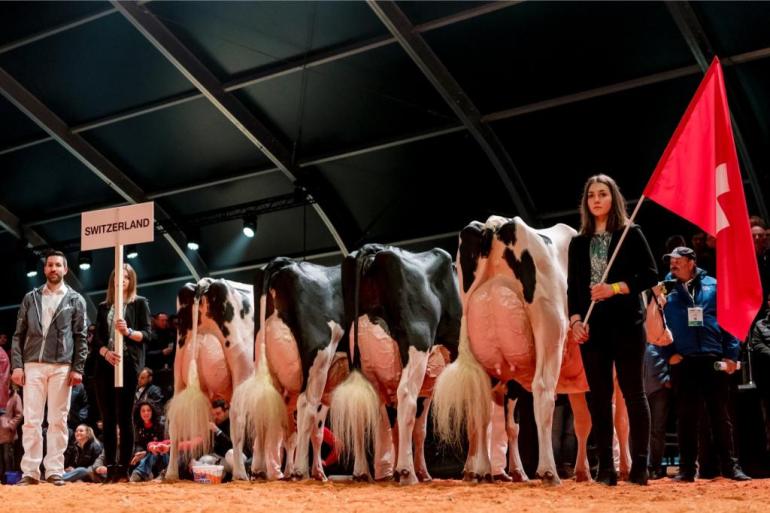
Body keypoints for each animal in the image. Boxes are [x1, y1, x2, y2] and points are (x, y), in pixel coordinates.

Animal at [166, 278, 255, 478]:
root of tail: (206, 283)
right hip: (243, 369)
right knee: (237, 420)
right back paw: (241, 474)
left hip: (178, 374)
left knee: (174, 423)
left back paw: (171, 473)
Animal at [328, 244, 460, 484]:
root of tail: (373, 251)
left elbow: (402, 427)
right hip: (417, 345)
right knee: (406, 397)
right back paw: (407, 473)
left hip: (361, 359)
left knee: (364, 406)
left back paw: (362, 472)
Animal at [432, 215, 576, 484]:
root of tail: (495, 225)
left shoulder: (512, 377)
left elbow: (512, 425)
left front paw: (516, 470)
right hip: (550, 325)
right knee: (543, 391)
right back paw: (548, 471)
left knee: (481, 409)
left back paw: (481, 470)